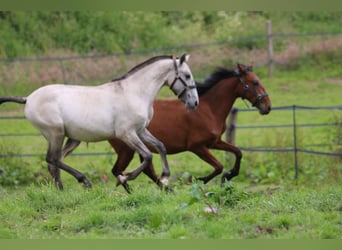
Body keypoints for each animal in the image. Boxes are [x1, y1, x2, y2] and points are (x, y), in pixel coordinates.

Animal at [0, 54, 199, 189]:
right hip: (55, 133)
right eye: (187, 76)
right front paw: (125, 179)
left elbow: (161, 146)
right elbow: (148, 156)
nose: (195, 103)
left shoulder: (140, 130)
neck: (134, 93)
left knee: (54, 162)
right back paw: (84, 181)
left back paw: (61, 191)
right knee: (52, 158)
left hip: (71, 138)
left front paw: (165, 177)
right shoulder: (126, 133)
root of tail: (28, 98)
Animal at [108, 63, 272, 191]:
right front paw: (197, 179)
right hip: (126, 150)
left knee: (145, 169)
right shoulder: (197, 146)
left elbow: (238, 152)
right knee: (118, 170)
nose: (267, 107)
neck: (208, 109)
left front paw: (229, 175)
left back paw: (165, 190)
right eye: (255, 82)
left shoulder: (214, 142)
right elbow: (219, 166)